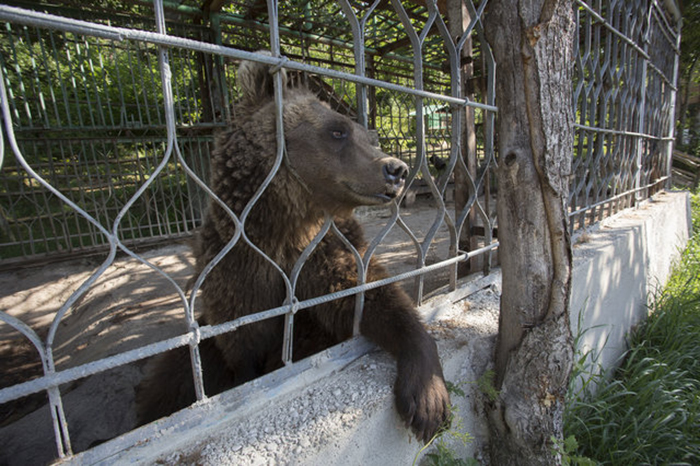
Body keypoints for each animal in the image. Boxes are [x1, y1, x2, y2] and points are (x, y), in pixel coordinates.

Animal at [137, 56, 452, 442]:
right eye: (337, 131)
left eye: (367, 136)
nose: (397, 168)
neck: (287, 225)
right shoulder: (238, 268)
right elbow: (242, 341)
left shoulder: (327, 250)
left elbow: (371, 297)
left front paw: (426, 398)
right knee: (173, 374)